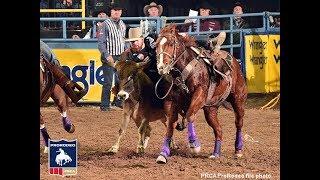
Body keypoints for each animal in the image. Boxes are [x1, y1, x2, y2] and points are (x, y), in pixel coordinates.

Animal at [155, 24, 248, 164]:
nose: (161, 67)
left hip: (238, 100)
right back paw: (216, 153)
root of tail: (235, 63)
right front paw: (163, 153)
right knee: (218, 130)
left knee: (239, 123)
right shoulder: (172, 101)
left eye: (171, 43)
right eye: (156, 45)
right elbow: (171, 125)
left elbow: (189, 115)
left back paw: (238, 150)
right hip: (211, 109)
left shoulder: (200, 94)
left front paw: (194, 145)